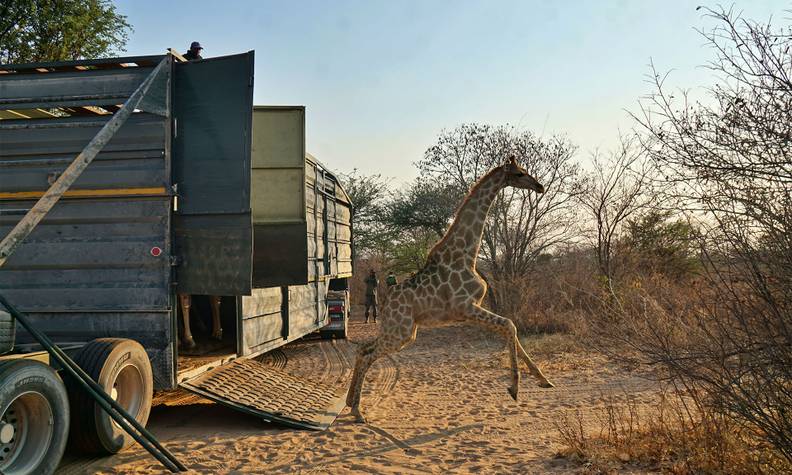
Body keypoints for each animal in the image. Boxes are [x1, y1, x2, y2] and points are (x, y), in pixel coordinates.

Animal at [346, 157, 556, 424]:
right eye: (519, 174)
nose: (539, 186)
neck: (466, 255)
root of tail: (386, 302)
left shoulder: (469, 311)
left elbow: (511, 329)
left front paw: (543, 380)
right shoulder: (467, 307)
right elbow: (510, 325)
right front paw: (514, 389)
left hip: (403, 331)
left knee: (362, 349)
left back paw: (349, 402)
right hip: (400, 332)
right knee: (368, 353)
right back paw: (357, 410)